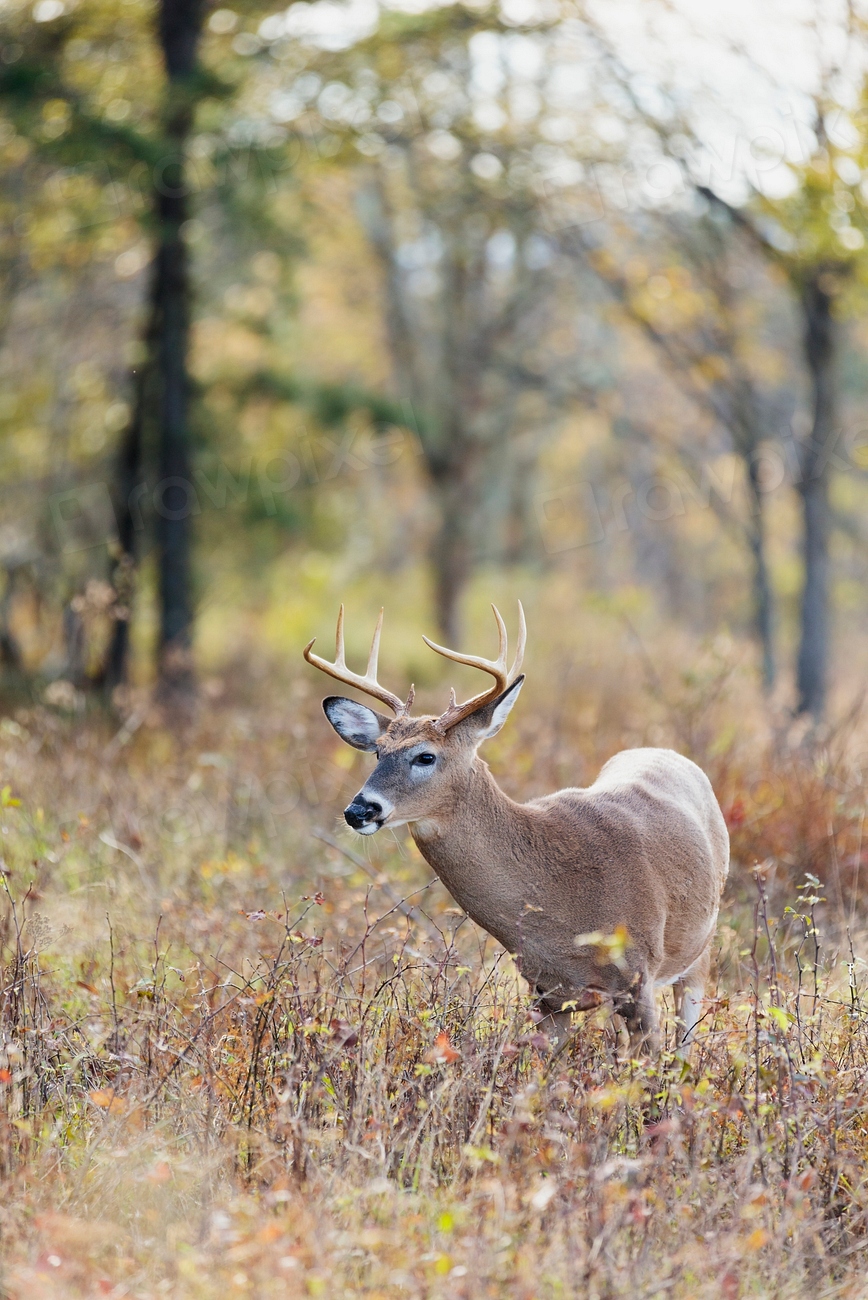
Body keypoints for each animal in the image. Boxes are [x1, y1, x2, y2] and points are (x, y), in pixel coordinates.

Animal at [303, 603, 729, 1054]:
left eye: (425, 756)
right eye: (378, 752)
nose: (358, 810)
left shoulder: (639, 976)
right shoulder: (547, 994)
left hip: (700, 948)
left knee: (686, 1039)